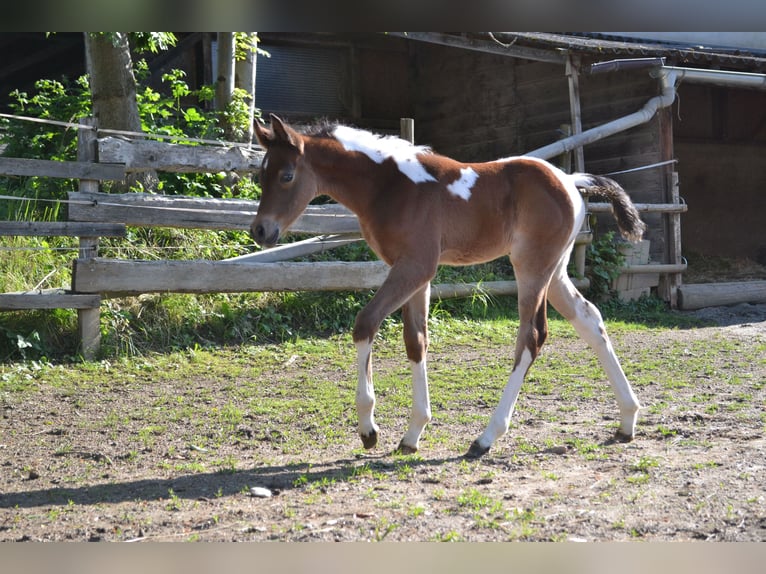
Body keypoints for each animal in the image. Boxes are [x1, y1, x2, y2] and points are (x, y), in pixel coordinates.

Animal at [252, 114, 645, 459]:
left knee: (532, 337)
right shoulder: (414, 273)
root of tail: (570, 180)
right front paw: (412, 433)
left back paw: (485, 438)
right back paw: (627, 419)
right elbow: (416, 341)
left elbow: (365, 323)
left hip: (531, 267)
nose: (260, 230)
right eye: (261, 174)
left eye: (286, 175)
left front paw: (368, 429)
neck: (388, 186)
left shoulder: (415, 266)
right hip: (556, 271)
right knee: (590, 319)